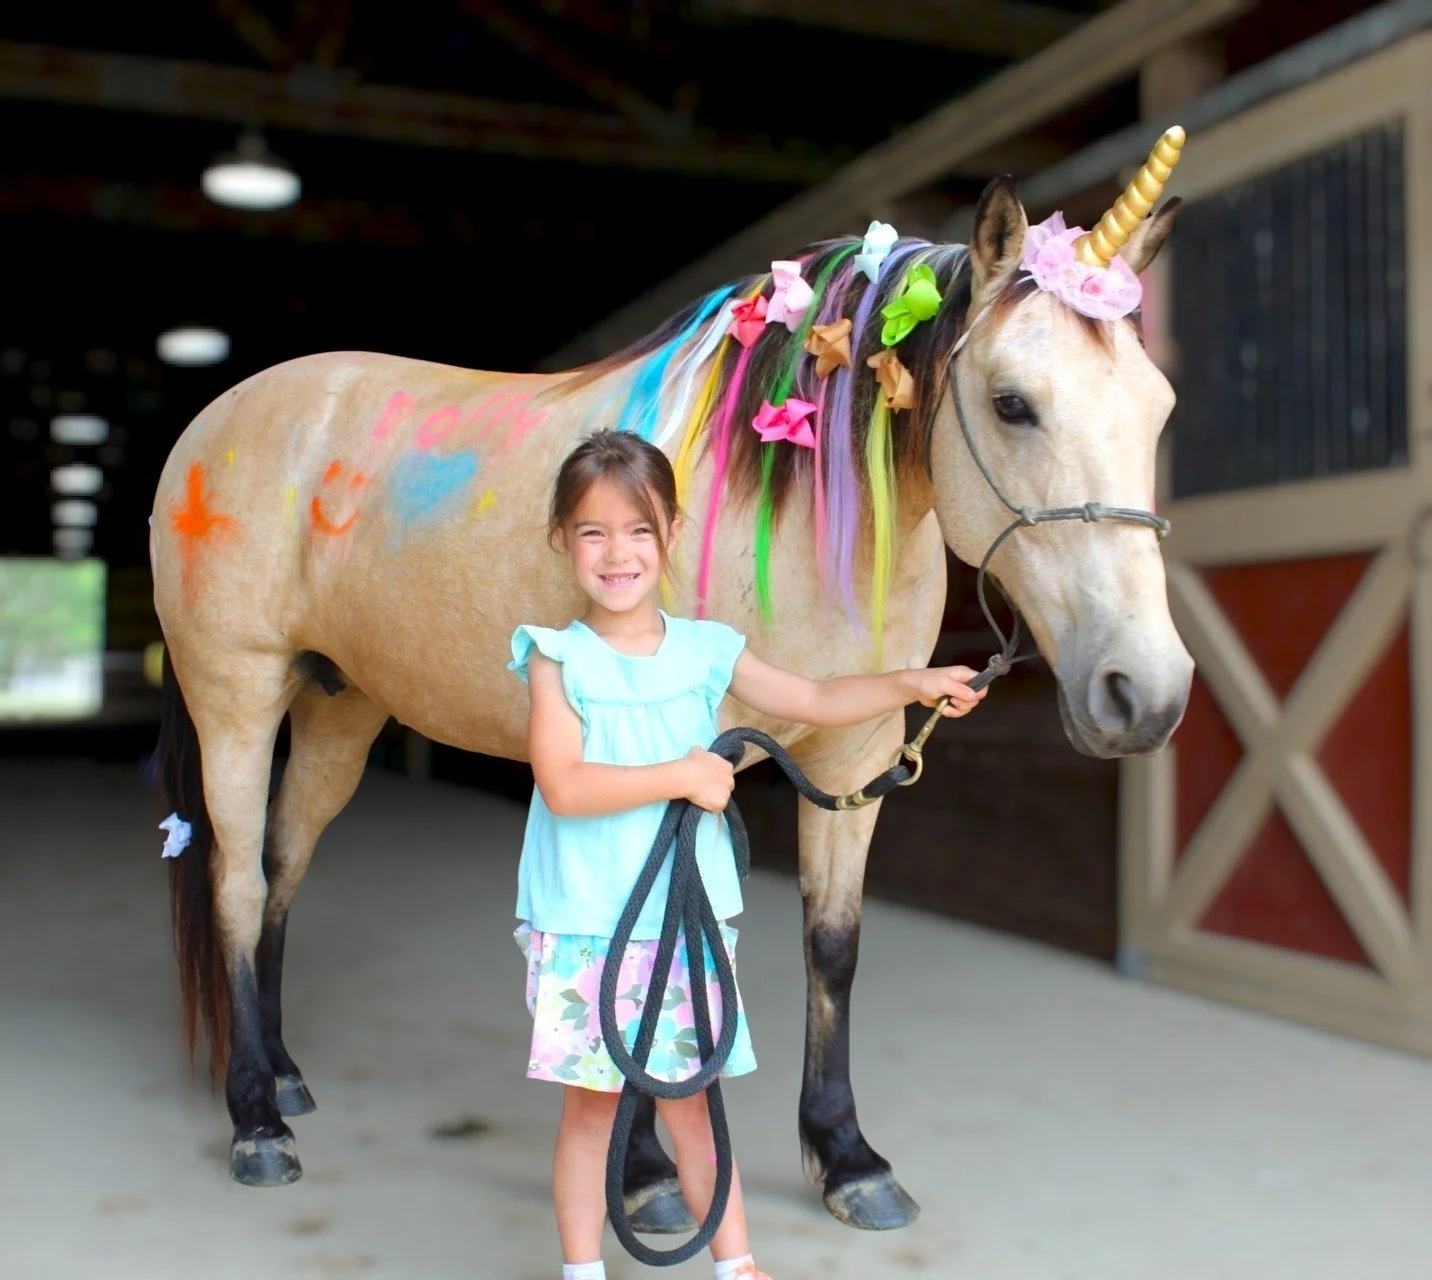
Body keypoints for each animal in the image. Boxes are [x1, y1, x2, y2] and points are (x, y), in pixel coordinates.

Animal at [150, 156, 1193, 1234]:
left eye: (1158, 407)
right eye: (1012, 402)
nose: (1146, 692)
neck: (787, 507)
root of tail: (217, 420)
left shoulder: (853, 755)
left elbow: (831, 946)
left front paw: (845, 1156)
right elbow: (655, 934)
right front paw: (648, 1172)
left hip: (339, 708)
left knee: (282, 864)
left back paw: (282, 1072)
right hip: (237, 695)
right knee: (236, 877)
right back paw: (256, 1121)